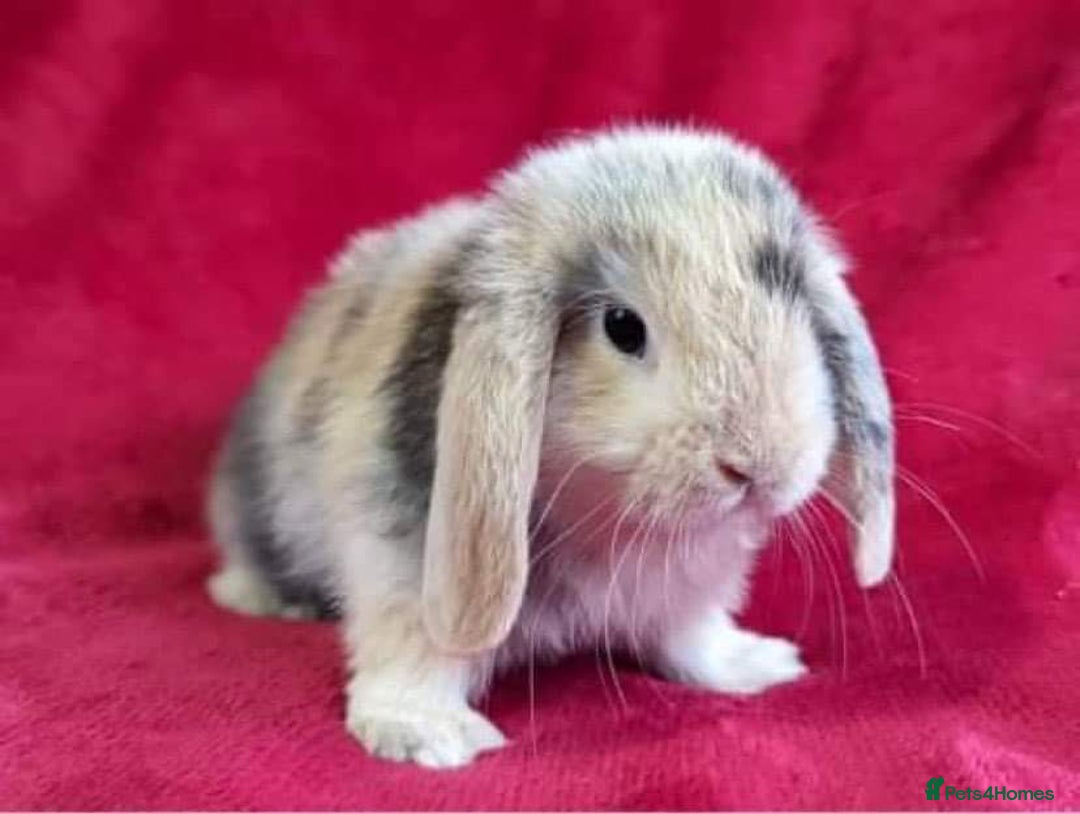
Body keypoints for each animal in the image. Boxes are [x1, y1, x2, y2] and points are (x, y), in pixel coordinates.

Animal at [205, 125, 895, 769]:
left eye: (793, 302)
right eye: (622, 327)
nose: (758, 466)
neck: (612, 526)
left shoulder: (687, 590)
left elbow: (689, 637)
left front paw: (756, 664)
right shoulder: (399, 558)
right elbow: (415, 649)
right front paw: (428, 736)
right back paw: (262, 599)